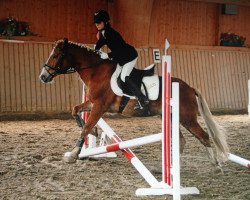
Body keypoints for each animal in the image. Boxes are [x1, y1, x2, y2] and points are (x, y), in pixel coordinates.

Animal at [38, 38, 229, 166]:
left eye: (56, 55)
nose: (43, 76)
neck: (95, 71)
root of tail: (189, 87)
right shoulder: (92, 103)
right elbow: (75, 111)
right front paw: (94, 132)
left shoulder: (100, 106)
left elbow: (85, 127)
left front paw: (73, 154)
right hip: (170, 117)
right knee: (183, 140)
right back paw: (173, 166)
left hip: (186, 118)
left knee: (203, 136)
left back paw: (216, 164)